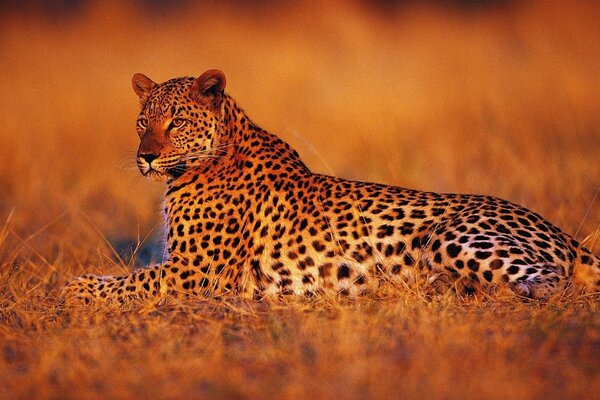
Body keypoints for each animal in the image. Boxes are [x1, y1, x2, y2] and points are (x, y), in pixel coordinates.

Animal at [62, 68, 600, 304]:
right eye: (141, 122)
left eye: (175, 122)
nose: (145, 157)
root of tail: (561, 233)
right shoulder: (182, 263)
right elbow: (127, 276)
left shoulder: (196, 270)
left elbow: (129, 283)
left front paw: (73, 288)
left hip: (452, 235)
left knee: (547, 284)